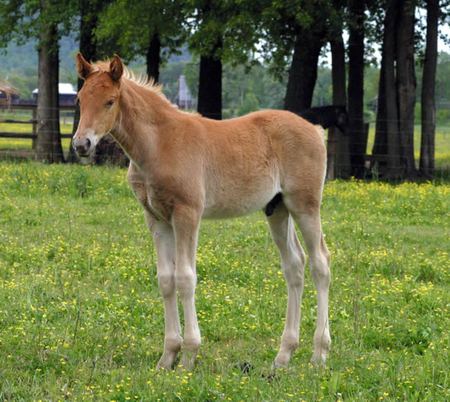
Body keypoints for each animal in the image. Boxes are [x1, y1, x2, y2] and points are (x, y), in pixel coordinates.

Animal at [74, 53, 332, 370]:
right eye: (80, 99)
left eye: (110, 101)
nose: (81, 144)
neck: (159, 144)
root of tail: (315, 130)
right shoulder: (157, 219)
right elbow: (166, 280)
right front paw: (167, 356)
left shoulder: (187, 214)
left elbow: (185, 278)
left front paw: (189, 355)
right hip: (278, 209)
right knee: (294, 265)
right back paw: (283, 355)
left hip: (305, 205)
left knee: (320, 263)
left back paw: (319, 353)